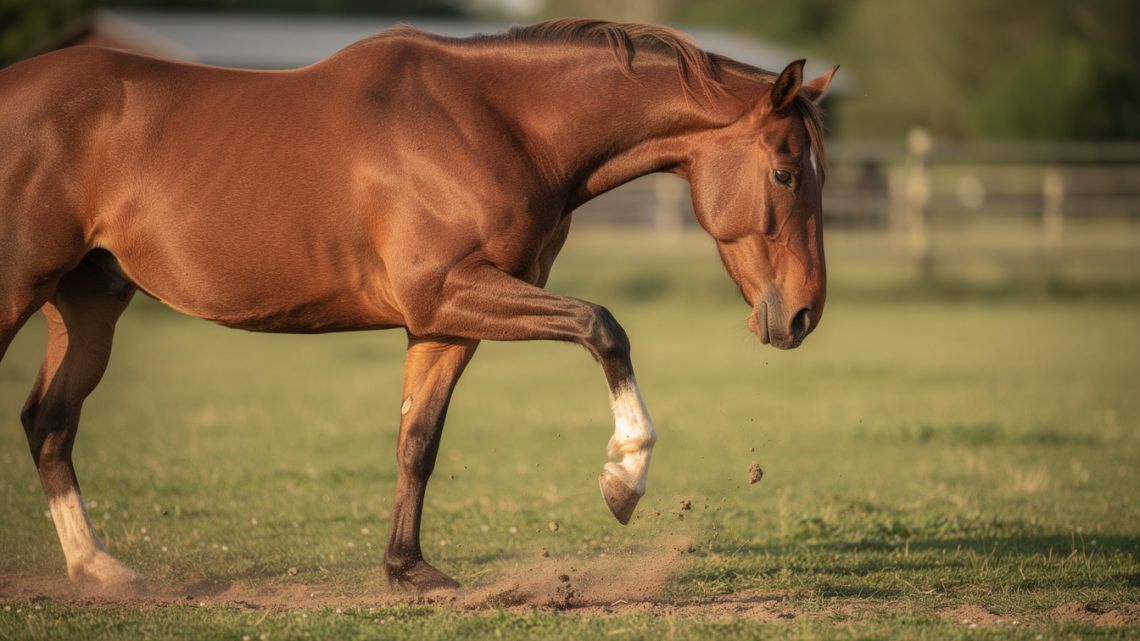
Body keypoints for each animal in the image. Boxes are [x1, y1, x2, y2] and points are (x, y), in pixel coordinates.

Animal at [0, 18, 835, 594]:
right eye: (787, 172)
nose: (803, 316)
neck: (494, 123)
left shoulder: (442, 322)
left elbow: (418, 439)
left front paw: (409, 568)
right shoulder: (452, 292)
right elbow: (603, 326)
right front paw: (624, 476)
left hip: (89, 303)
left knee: (49, 421)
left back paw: (99, 568)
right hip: (17, 292)